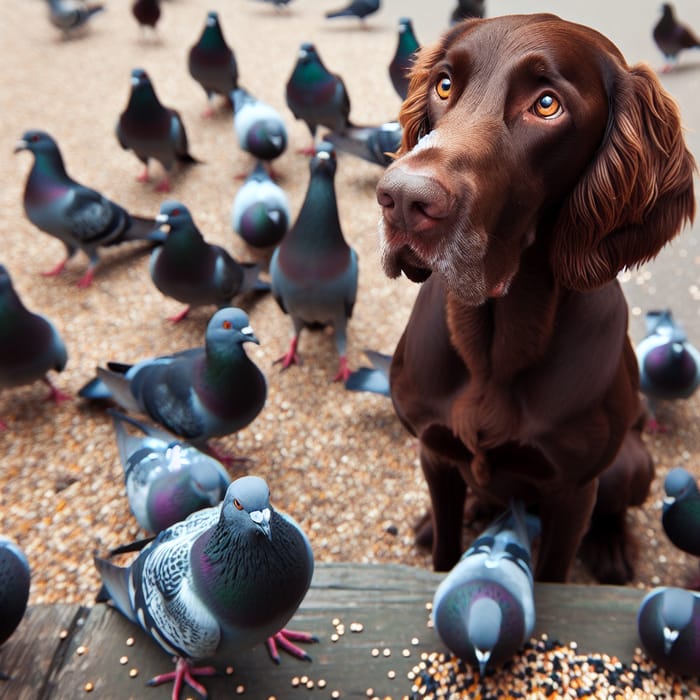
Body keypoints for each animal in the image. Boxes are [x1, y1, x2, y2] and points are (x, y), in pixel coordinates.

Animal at [378, 13, 696, 584]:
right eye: (444, 85)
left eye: (547, 105)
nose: (403, 199)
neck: (492, 344)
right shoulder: (433, 452)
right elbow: (444, 552)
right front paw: (438, 535)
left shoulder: (572, 490)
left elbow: (553, 569)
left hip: (630, 466)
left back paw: (612, 546)